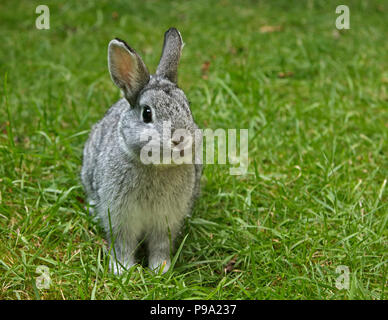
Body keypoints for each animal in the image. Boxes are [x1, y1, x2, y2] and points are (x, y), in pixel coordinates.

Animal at [81, 27, 203, 274]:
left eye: (188, 109)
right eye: (147, 113)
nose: (181, 141)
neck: (156, 167)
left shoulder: (166, 220)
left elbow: (160, 244)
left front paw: (160, 269)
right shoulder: (120, 216)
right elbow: (123, 243)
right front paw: (122, 270)